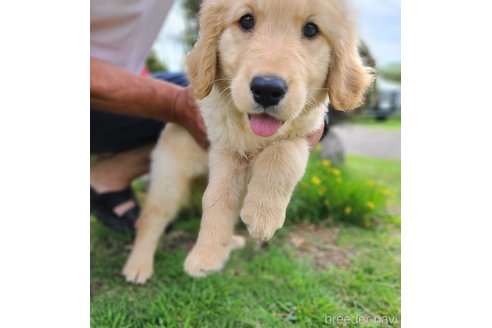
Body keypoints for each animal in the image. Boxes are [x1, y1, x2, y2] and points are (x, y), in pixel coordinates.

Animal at [123, 0, 372, 284]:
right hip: (170, 180)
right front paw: (205, 255)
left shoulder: (305, 133)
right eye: (246, 21)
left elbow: (282, 154)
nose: (267, 89)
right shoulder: (224, 145)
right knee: (151, 219)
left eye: (311, 29)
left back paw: (230, 244)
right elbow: (218, 197)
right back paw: (138, 266)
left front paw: (262, 214)